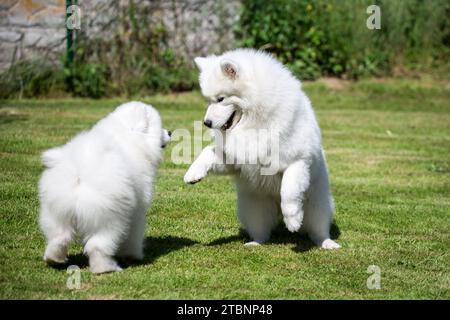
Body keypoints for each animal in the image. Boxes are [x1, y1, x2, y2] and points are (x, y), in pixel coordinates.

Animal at [37, 102, 170, 272]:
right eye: (158, 127)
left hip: (56, 211)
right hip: (108, 219)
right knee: (97, 245)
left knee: (59, 237)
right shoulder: (137, 212)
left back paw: (54, 259)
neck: (129, 136)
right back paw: (106, 268)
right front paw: (133, 256)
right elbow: (134, 235)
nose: (170, 132)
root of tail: (80, 174)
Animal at [184, 47, 342, 249]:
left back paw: (326, 243)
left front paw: (293, 219)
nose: (207, 123)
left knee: (318, 229)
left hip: (317, 206)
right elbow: (208, 152)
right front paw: (193, 173)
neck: (254, 121)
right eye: (208, 100)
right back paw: (254, 243)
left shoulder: (298, 160)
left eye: (221, 99)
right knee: (262, 231)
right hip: (254, 208)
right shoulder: (236, 160)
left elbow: (289, 189)